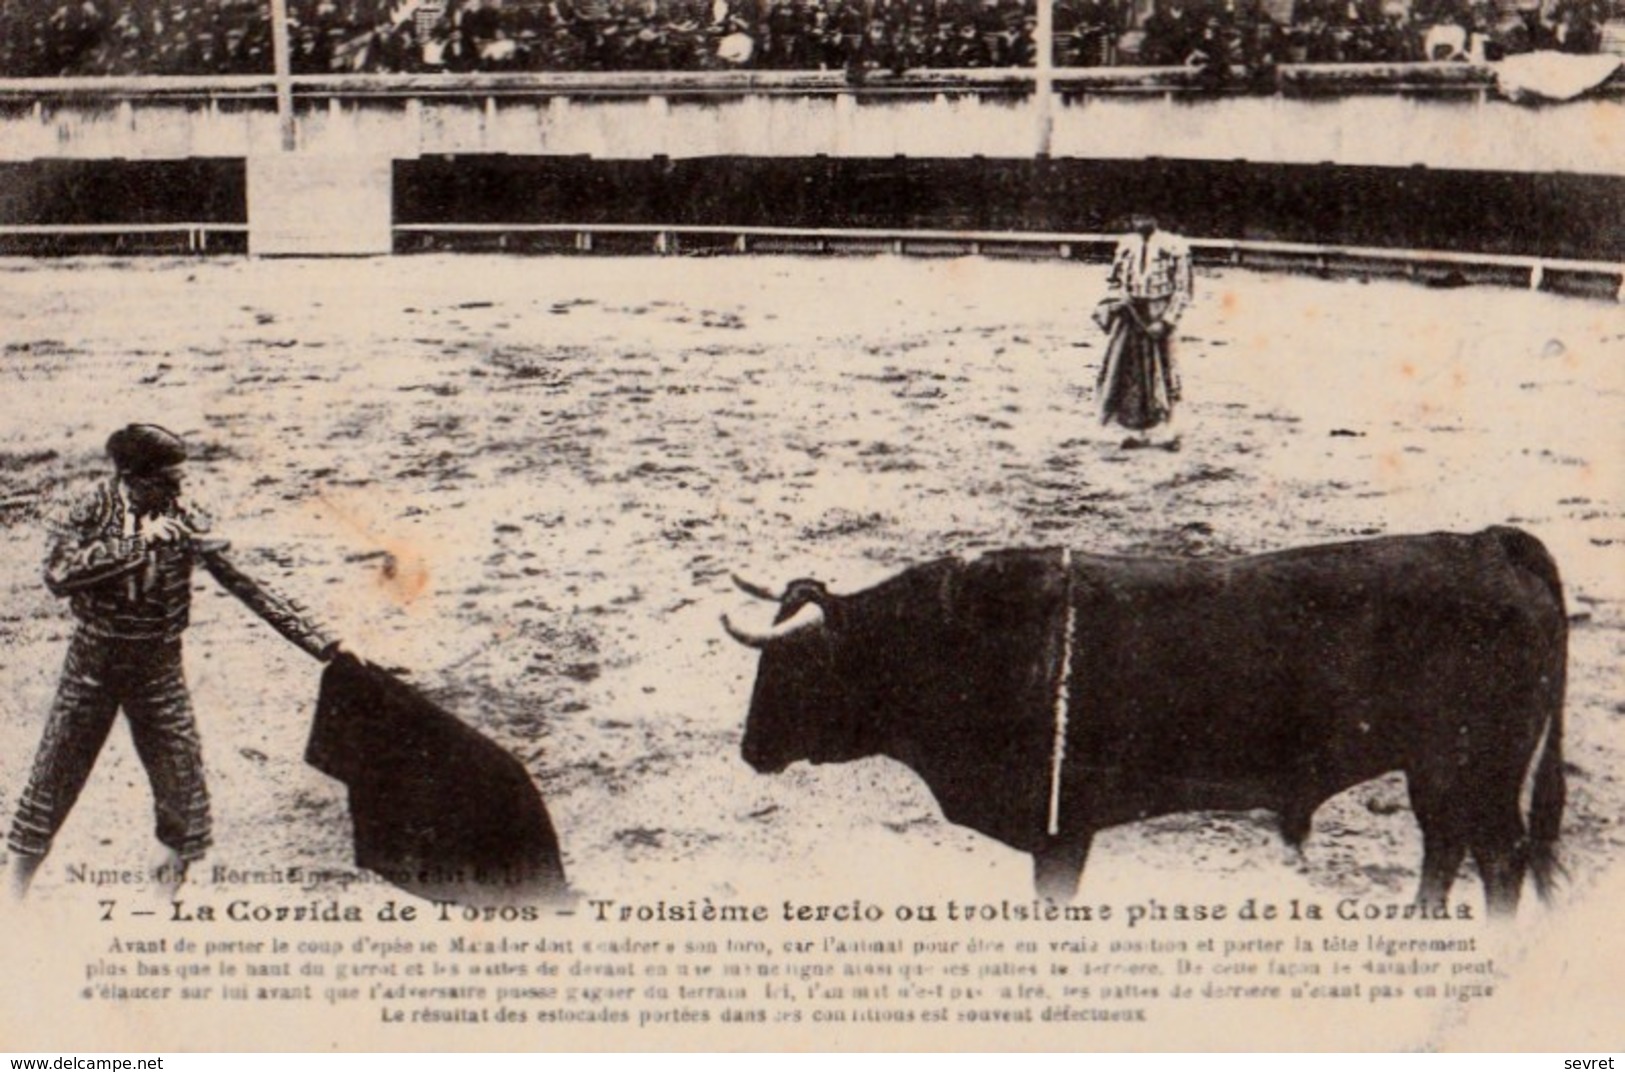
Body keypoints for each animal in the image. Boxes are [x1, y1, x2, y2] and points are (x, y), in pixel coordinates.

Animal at [721, 526, 1560, 916]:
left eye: (792, 671)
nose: (750, 750)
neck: (959, 641)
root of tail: (1488, 543)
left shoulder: (1060, 831)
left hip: (1475, 771)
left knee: (1498, 862)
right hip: (1437, 770)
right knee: (1444, 846)